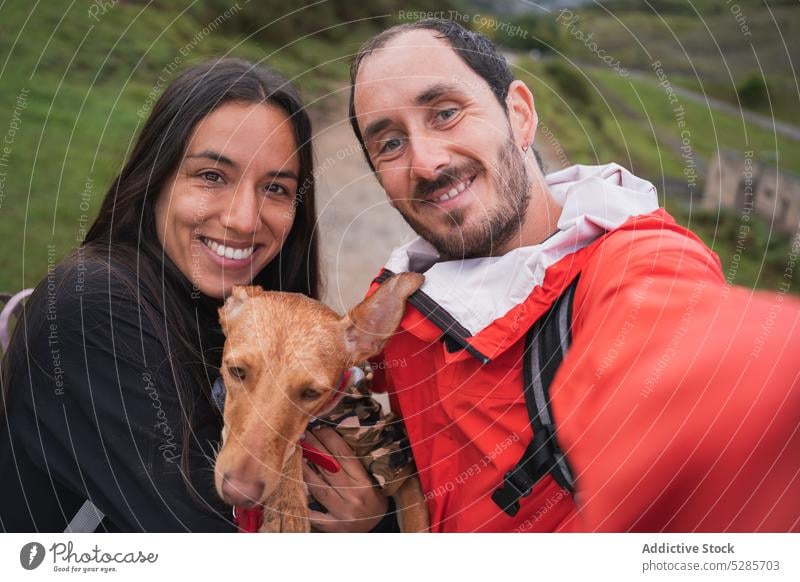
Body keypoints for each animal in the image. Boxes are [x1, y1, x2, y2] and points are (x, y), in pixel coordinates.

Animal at [211, 274, 424, 532]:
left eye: (311, 393)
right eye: (236, 371)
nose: (238, 493)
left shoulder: (395, 459)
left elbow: (418, 524)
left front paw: (286, 505)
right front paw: (288, 505)